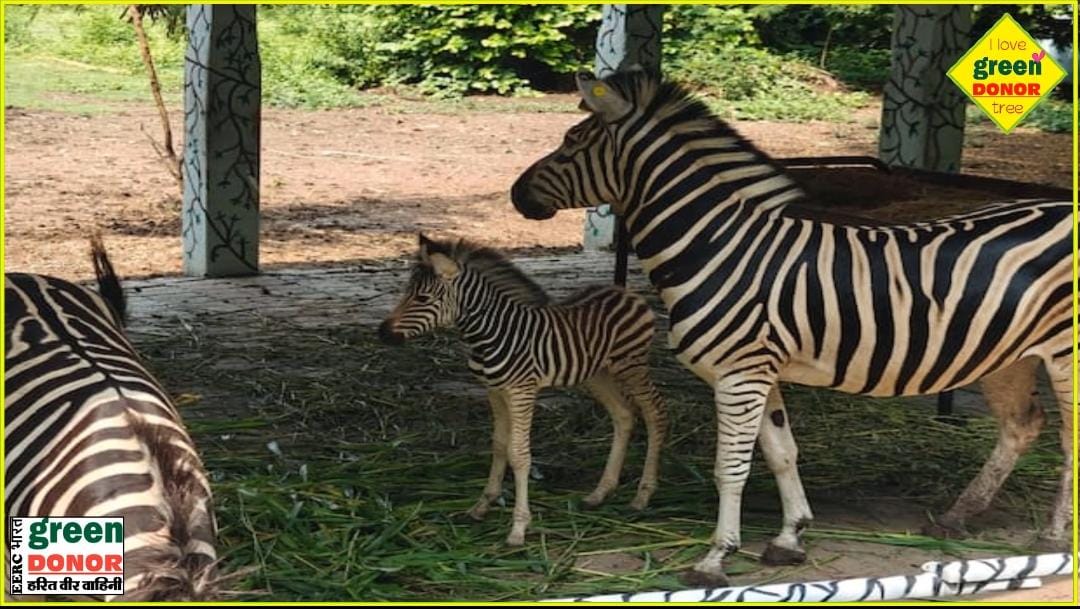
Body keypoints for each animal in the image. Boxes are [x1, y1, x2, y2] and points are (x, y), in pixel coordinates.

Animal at [379, 234, 669, 546]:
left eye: (422, 299)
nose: (382, 333)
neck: (490, 335)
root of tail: (623, 290)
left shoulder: (521, 391)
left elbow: (518, 453)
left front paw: (518, 528)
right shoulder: (494, 390)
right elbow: (498, 445)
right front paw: (482, 505)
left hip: (631, 365)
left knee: (655, 412)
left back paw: (642, 495)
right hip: (596, 373)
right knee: (624, 415)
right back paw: (600, 493)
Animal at [510, 70, 1073, 586]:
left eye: (571, 142)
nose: (516, 195)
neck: (718, 246)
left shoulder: (738, 376)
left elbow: (731, 467)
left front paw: (716, 558)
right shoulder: (758, 372)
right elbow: (781, 453)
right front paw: (789, 537)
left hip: (1064, 353)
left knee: (1066, 438)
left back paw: (1052, 536)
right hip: (1009, 353)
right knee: (1021, 426)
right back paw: (958, 515)